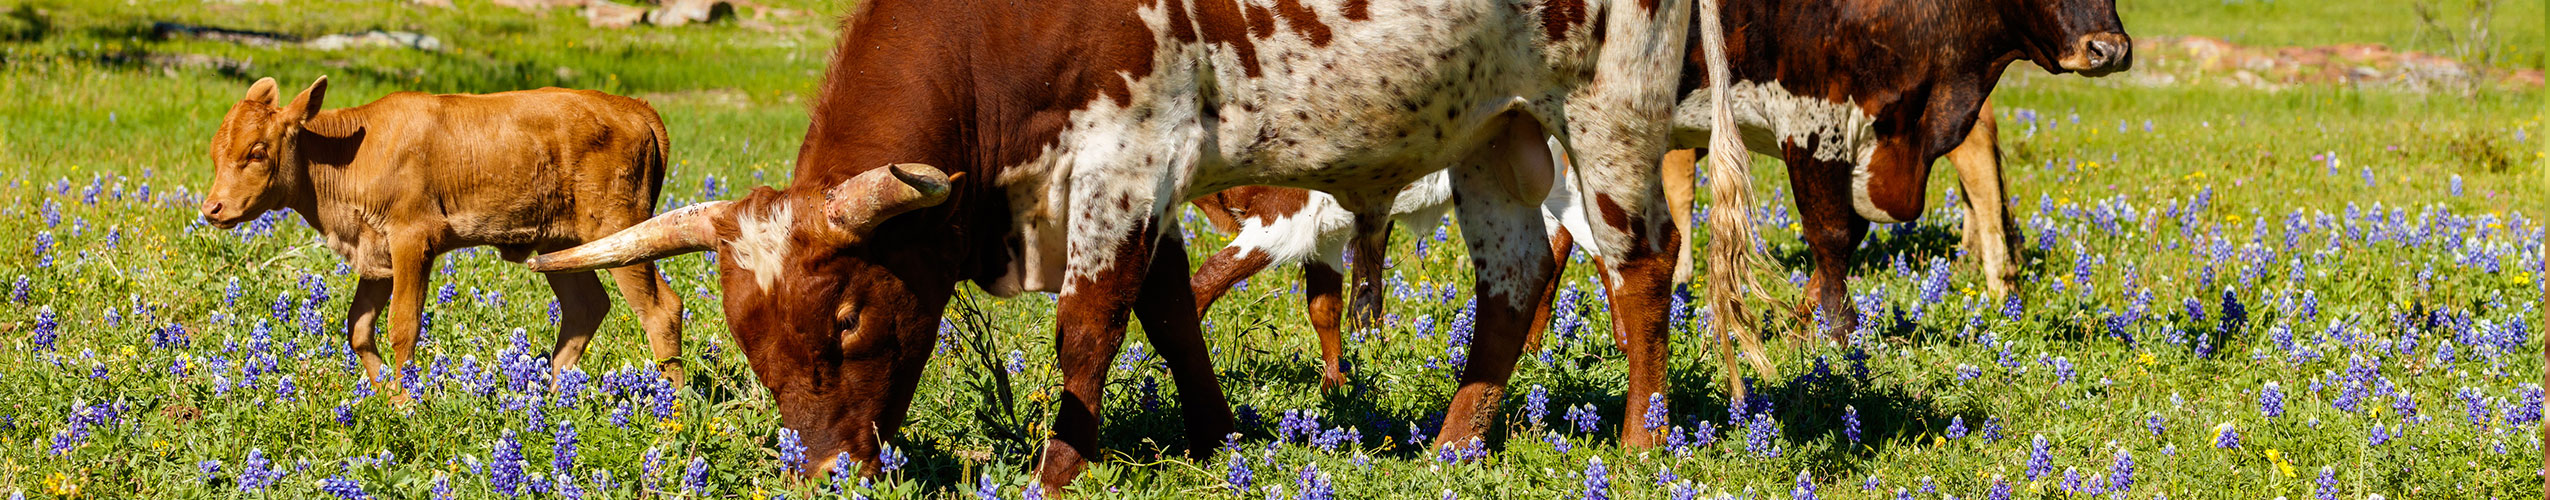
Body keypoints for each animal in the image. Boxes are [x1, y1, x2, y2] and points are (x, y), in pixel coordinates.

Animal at [200, 79, 693, 390]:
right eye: (215, 152)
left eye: (257, 151)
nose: (212, 208)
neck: (350, 152)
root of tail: (632, 107)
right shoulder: (377, 255)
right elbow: (358, 327)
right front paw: (386, 394)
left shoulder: (412, 240)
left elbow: (403, 325)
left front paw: (405, 402)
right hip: (564, 247)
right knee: (585, 307)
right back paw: (552, 402)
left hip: (623, 232)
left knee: (660, 310)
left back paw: (672, 416)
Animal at [530, 0, 1744, 489]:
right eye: (747, 338)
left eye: (847, 317)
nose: (826, 472)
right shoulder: (1136, 179)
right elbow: (1167, 311)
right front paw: (1218, 435)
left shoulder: (1123, 159)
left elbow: (1092, 324)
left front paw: (1058, 469)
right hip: (1496, 127)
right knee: (1514, 283)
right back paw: (1452, 447)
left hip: (1608, 107)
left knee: (1641, 264)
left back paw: (1641, 441)